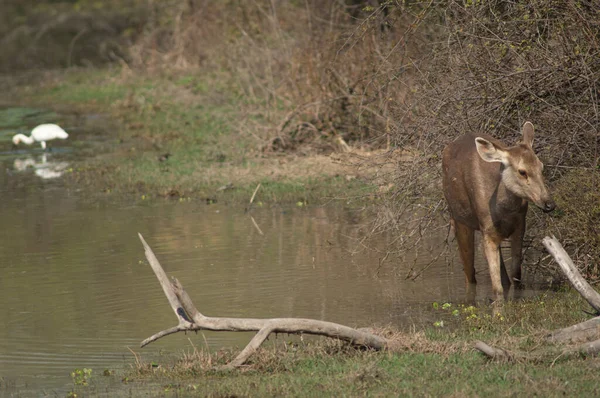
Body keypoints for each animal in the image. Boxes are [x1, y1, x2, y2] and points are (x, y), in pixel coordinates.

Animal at [442, 121, 556, 302]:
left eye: (541, 167)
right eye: (522, 171)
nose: (549, 204)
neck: (504, 210)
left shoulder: (519, 226)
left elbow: (516, 279)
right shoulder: (487, 231)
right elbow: (497, 289)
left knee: (503, 276)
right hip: (458, 218)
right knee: (470, 276)